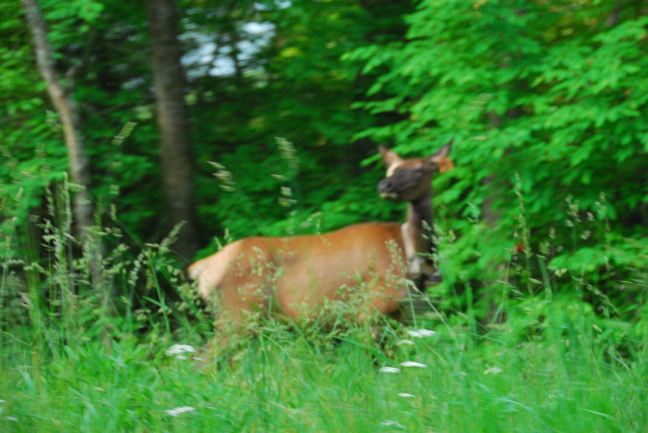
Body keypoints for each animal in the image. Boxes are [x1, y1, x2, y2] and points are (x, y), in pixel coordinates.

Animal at [188, 141, 453, 338]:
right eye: (391, 169)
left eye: (418, 169)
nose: (384, 184)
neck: (407, 250)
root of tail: (204, 268)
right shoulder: (369, 308)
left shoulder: (401, 314)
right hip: (238, 312)